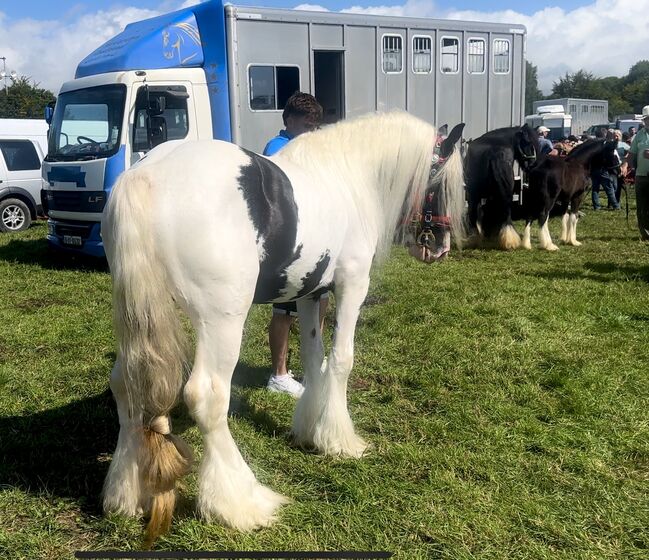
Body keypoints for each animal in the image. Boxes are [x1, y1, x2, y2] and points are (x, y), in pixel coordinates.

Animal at [101, 110, 466, 548]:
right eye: (439, 181)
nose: (440, 246)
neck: (347, 175)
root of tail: (147, 174)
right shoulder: (351, 285)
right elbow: (341, 360)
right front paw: (340, 440)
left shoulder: (310, 295)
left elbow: (313, 359)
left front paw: (311, 429)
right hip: (222, 321)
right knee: (206, 396)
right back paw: (240, 502)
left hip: (141, 316)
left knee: (126, 385)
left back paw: (126, 493)